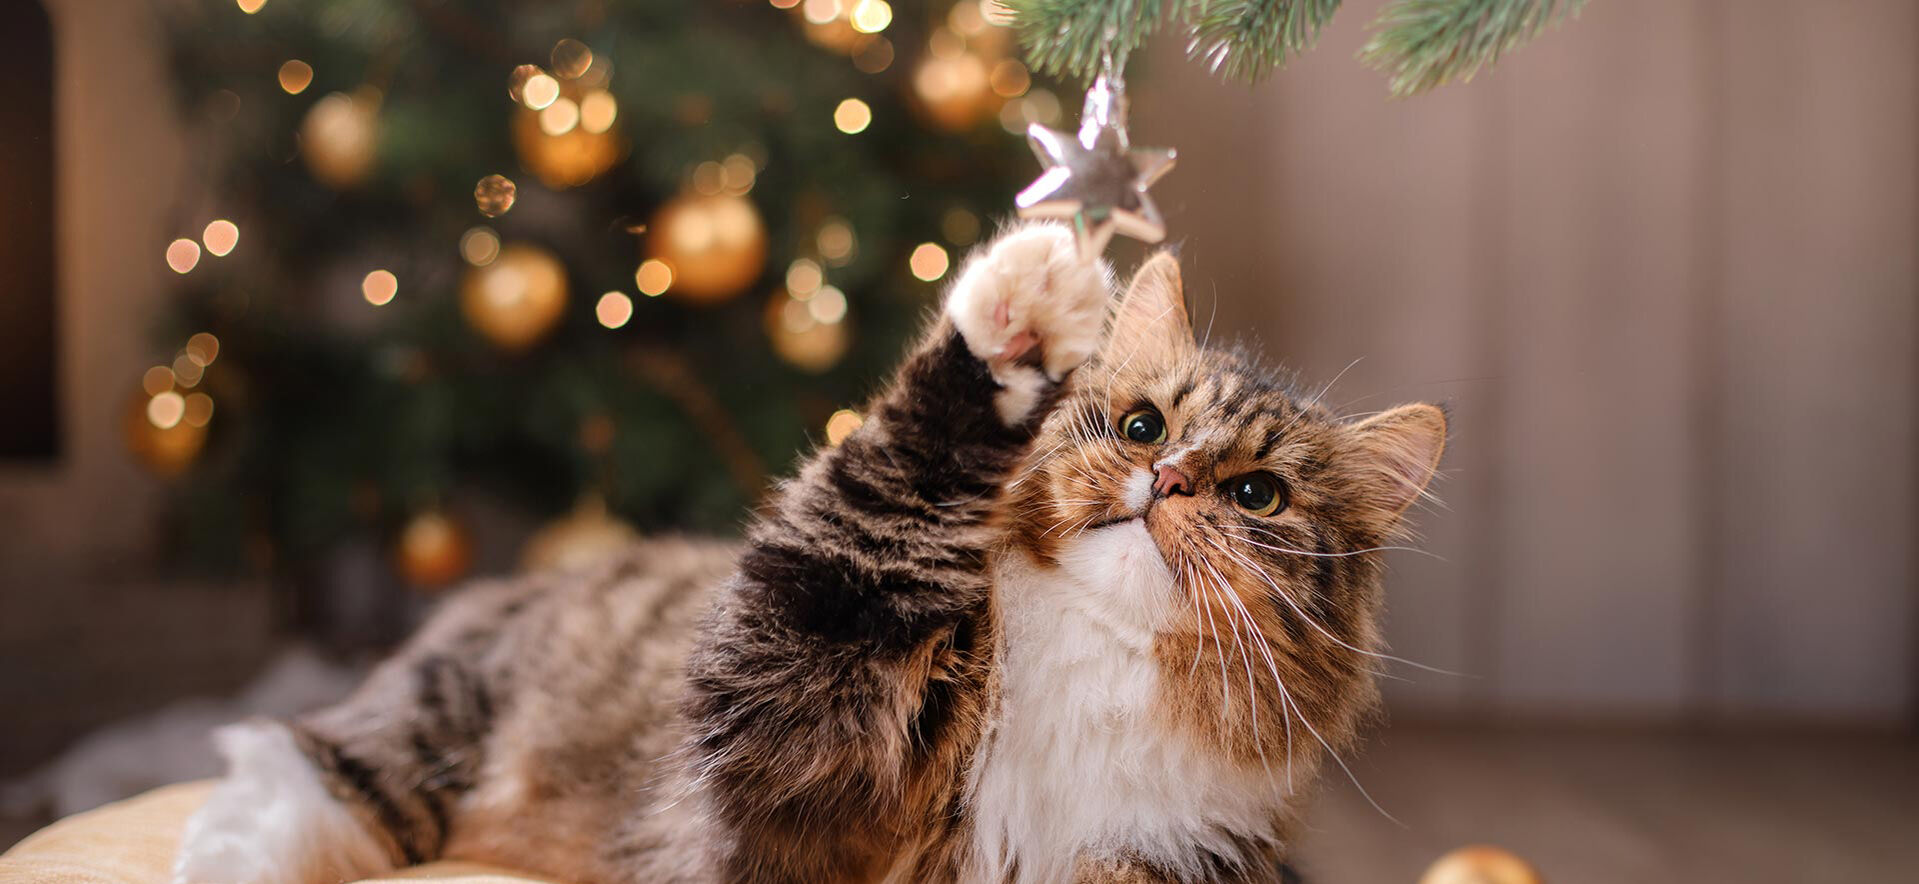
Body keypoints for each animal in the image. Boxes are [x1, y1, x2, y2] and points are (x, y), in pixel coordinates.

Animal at [176, 222, 1443, 882]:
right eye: (1139, 426)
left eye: (1253, 493)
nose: (1167, 481)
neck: (1088, 668)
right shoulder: (785, 729)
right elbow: (883, 486)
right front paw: (1024, 316)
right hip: (435, 729)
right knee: (311, 773)